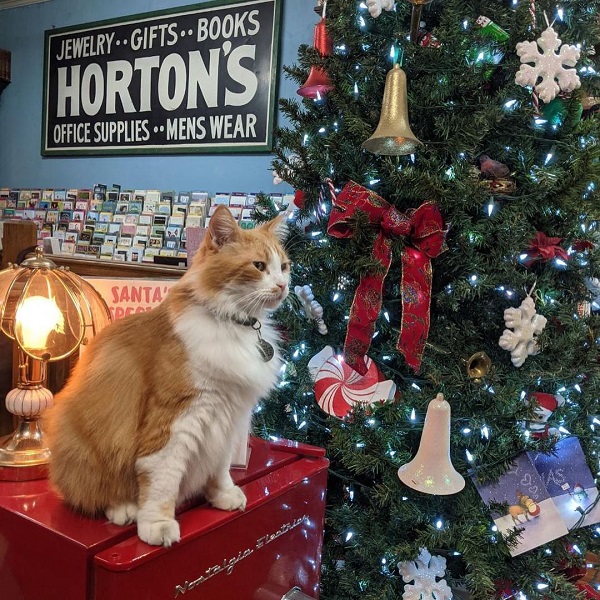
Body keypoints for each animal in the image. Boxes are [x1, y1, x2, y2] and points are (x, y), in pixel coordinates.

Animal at [44, 206, 290, 548]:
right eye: (259, 266)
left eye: (284, 267)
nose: (283, 285)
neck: (233, 325)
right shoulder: (178, 417)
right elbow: (162, 478)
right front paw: (157, 523)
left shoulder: (231, 415)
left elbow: (221, 466)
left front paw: (223, 495)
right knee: (96, 492)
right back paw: (124, 509)